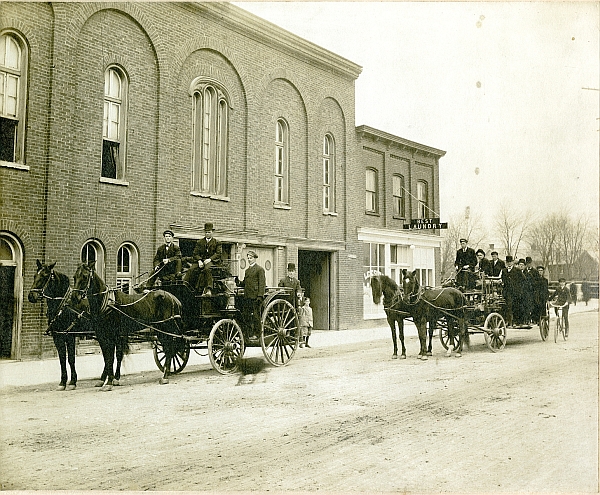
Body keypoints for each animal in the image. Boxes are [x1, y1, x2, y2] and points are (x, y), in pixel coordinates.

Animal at [27, 260, 92, 392]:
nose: (31, 296)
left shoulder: (70, 336)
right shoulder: (57, 336)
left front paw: (72, 382)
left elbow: (71, 359)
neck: (63, 305)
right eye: (35, 276)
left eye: (44, 276)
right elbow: (62, 359)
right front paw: (62, 382)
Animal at [71, 262, 183, 394]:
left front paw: (109, 382)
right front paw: (106, 380)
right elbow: (106, 358)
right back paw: (167, 372)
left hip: (166, 327)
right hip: (160, 329)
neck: (107, 303)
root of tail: (172, 297)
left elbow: (111, 358)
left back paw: (165, 376)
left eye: (84, 277)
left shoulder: (112, 335)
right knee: (168, 349)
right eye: (74, 277)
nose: (74, 297)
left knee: (170, 349)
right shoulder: (101, 336)